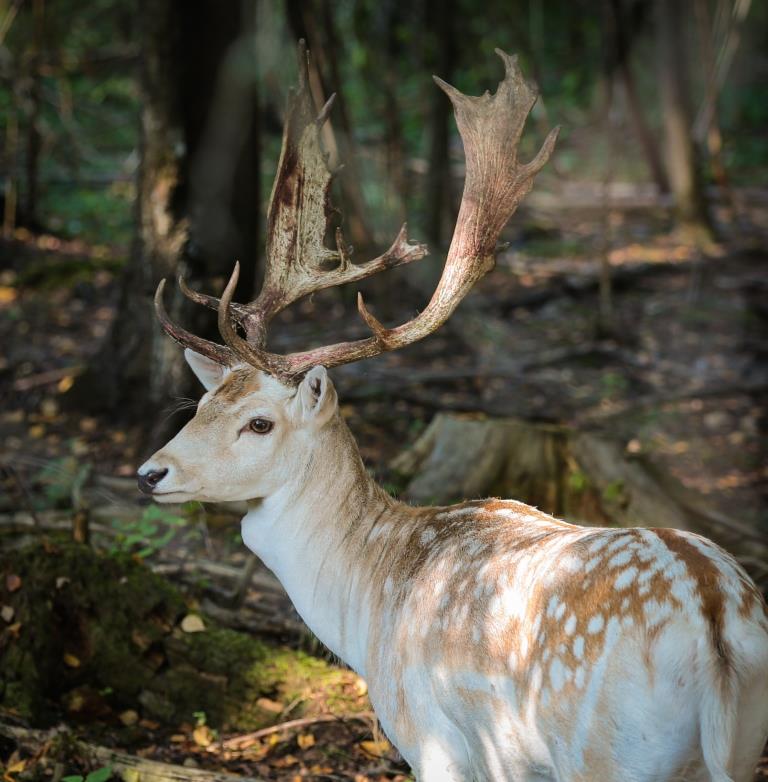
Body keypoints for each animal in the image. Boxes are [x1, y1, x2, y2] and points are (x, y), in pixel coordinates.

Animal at [136, 46, 768, 780]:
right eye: (204, 402)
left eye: (259, 422)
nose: (150, 472)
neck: (366, 612)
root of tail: (715, 618)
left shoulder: (433, 737)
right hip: (741, 739)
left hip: (606, 750)